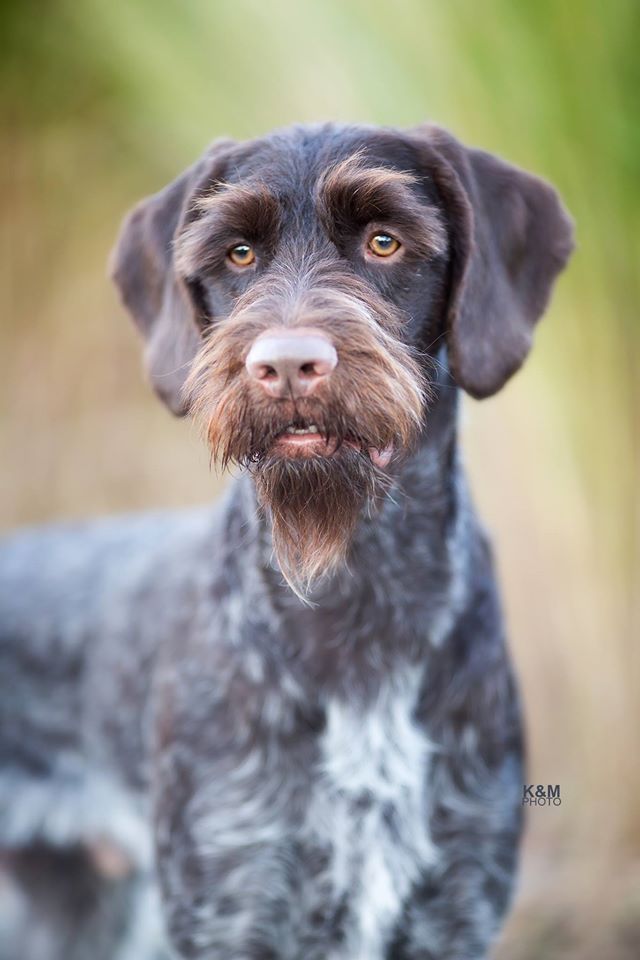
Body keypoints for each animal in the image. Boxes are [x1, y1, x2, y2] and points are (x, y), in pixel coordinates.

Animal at [0, 122, 568, 960]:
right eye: (238, 253)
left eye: (384, 240)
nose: (287, 365)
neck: (357, 590)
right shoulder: (234, 896)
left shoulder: (453, 900)